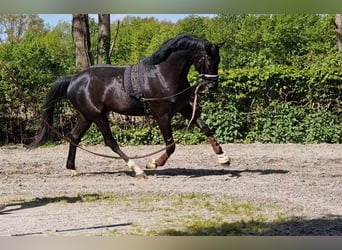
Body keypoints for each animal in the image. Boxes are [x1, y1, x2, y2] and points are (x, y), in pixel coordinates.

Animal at [30, 33, 230, 178]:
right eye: (209, 60)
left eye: (219, 60)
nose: (212, 85)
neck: (163, 74)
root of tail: (73, 79)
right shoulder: (161, 114)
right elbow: (170, 145)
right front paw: (154, 163)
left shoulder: (184, 107)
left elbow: (204, 127)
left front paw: (223, 157)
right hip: (97, 115)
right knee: (110, 141)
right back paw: (137, 169)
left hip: (87, 115)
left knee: (74, 137)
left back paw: (71, 168)